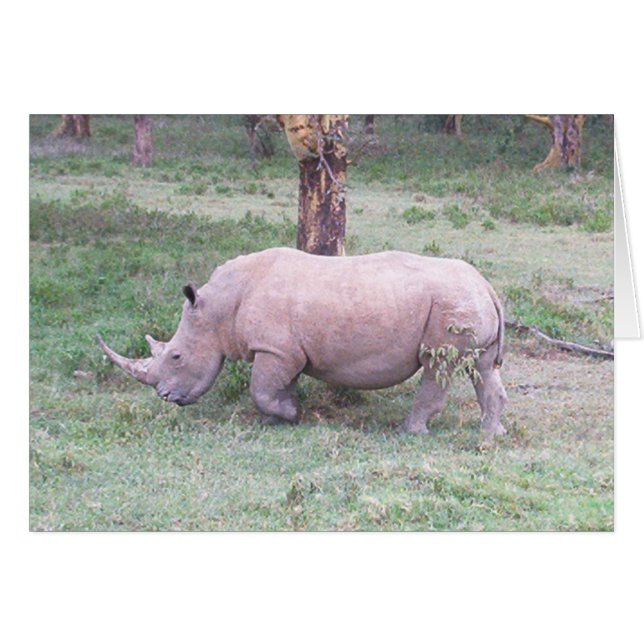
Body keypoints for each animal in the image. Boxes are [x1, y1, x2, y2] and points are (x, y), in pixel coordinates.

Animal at [99, 247, 507, 436]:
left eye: (177, 356)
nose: (166, 397)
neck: (218, 308)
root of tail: (486, 284)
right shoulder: (284, 351)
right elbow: (277, 387)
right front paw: (282, 415)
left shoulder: (274, 349)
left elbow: (261, 390)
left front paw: (291, 414)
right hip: (467, 301)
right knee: (484, 367)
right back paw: (491, 433)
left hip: (451, 305)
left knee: (437, 366)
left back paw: (410, 431)